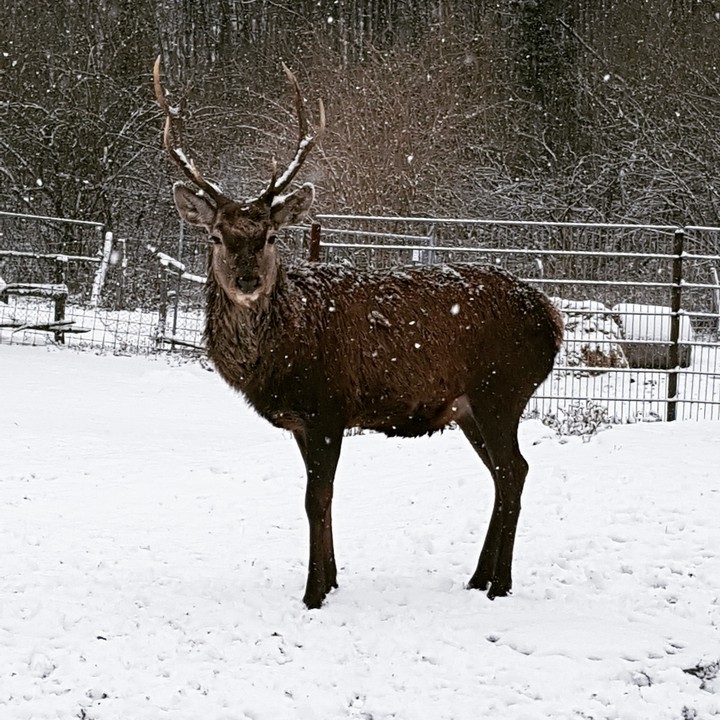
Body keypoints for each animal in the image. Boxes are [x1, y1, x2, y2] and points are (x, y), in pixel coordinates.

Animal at [153, 57, 564, 609]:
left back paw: (500, 584)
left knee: (515, 471)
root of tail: (553, 319)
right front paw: (331, 579)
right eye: (217, 236)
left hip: (502, 390)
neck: (280, 356)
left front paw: (312, 594)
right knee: (503, 475)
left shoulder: (328, 406)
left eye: (271, 235)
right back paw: (479, 577)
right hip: (471, 407)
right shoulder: (303, 422)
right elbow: (319, 500)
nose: (248, 280)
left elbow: (316, 498)